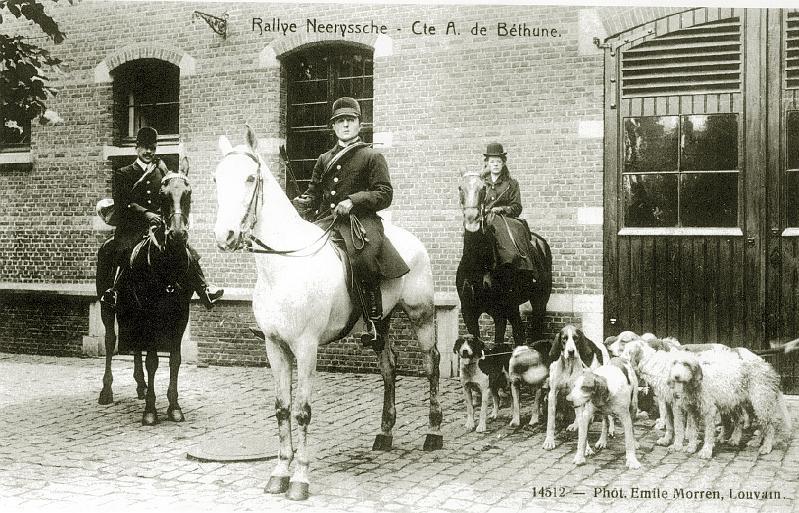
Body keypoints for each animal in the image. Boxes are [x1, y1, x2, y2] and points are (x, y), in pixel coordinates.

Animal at [98, 156, 194, 424]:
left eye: (188, 193)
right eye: (163, 195)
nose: (177, 234)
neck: (167, 264)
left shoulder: (180, 316)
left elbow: (175, 360)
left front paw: (174, 407)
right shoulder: (149, 313)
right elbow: (153, 361)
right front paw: (151, 411)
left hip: (130, 312)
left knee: (135, 345)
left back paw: (140, 386)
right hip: (108, 307)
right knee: (111, 342)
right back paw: (106, 391)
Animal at [212, 127, 444, 500]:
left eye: (249, 178)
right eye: (217, 178)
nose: (225, 236)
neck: (283, 267)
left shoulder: (306, 348)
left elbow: (302, 411)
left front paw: (300, 479)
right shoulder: (274, 347)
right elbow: (282, 408)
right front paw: (280, 471)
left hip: (420, 314)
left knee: (431, 365)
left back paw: (434, 433)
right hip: (381, 321)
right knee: (389, 367)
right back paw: (385, 433)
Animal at [456, 171, 552, 344]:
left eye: (483, 188)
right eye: (460, 187)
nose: (472, 219)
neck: (479, 264)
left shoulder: (499, 313)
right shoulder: (468, 312)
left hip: (539, 300)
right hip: (514, 306)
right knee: (519, 331)